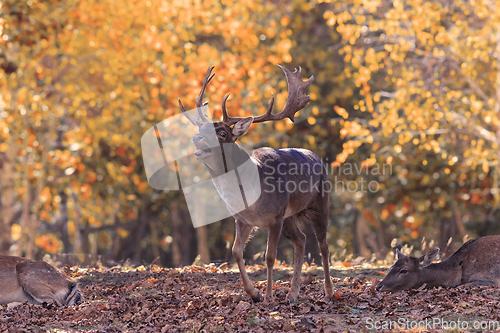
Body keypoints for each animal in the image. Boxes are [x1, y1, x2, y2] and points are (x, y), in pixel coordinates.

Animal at [178, 65, 334, 304]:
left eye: (222, 133)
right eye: (202, 130)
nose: (197, 139)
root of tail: (317, 157)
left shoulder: (276, 216)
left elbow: (269, 257)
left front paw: (268, 295)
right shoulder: (243, 219)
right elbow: (236, 251)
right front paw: (254, 293)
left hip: (319, 202)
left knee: (323, 245)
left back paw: (328, 291)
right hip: (290, 217)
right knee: (301, 240)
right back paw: (292, 293)